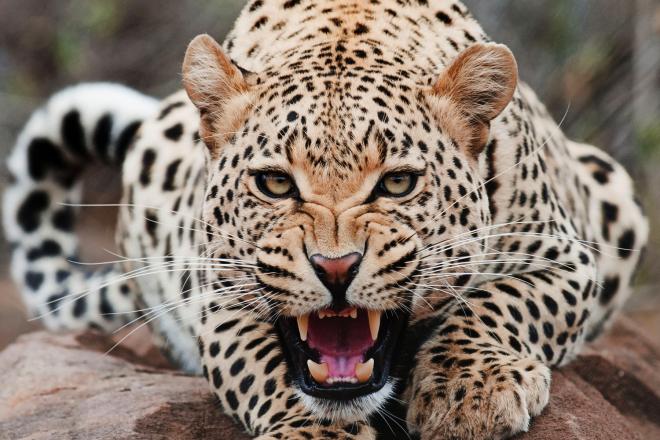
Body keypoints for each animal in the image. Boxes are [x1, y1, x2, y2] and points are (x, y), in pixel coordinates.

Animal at [3, 1, 649, 439]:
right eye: (274, 183)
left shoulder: (566, 257)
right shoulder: (218, 293)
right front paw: (314, 432)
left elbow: (502, 302)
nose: (335, 268)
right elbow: (262, 365)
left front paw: (469, 394)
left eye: (397, 183)